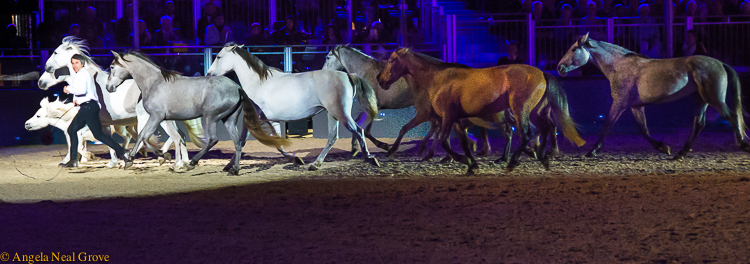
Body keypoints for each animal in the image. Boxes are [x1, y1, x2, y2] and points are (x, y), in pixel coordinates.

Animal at [36, 36, 204, 167]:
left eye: (55, 52)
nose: (40, 82)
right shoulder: (103, 123)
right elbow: (107, 140)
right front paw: (114, 161)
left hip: (153, 119)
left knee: (172, 136)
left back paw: (172, 160)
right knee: (180, 136)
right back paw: (183, 161)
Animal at [105, 51, 290, 175]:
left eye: (112, 67)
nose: (108, 87)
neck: (155, 83)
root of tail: (237, 87)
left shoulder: (157, 117)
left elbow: (144, 137)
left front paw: (163, 156)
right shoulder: (157, 118)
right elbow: (142, 136)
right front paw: (130, 160)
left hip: (210, 117)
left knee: (213, 139)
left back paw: (192, 163)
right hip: (228, 119)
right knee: (237, 142)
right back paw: (234, 170)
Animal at [207, 44, 378, 170]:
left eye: (218, 57)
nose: (208, 74)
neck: (258, 83)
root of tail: (347, 75)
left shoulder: (254, 119)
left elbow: (241, 141)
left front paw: (229, 166)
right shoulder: (272, 120)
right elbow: (278, 143)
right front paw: (296, 159)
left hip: (341, 114)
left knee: (358, 131)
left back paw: (370, 158)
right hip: (333, 114)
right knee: (333, 137)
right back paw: (316, 164)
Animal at [378, 48, 584, 174]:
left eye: (391, 60)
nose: (380, 79)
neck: (439, 78)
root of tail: (542, 73)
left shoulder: (446, 116)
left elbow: (444, 141)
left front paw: (462, 160)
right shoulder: (456, 120)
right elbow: (462, 142)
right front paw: (471, 165)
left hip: (521, 110)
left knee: (528, 133)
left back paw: (513, 161)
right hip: (535, 112)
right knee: (545, 128)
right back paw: (541, 156)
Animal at [560, 32, 750, 159]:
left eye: (574, 49)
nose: (559, 67)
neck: (621, 67)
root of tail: (720, 63)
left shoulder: (620, 103)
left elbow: (607, 124)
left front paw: (592, 151)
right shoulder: (636, 106)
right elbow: (643, 130)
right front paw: (662, 147)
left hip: (714, 99)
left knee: (731, 116)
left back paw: (743, 144)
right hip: (701, 100)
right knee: (699, 124)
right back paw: (680, 153)